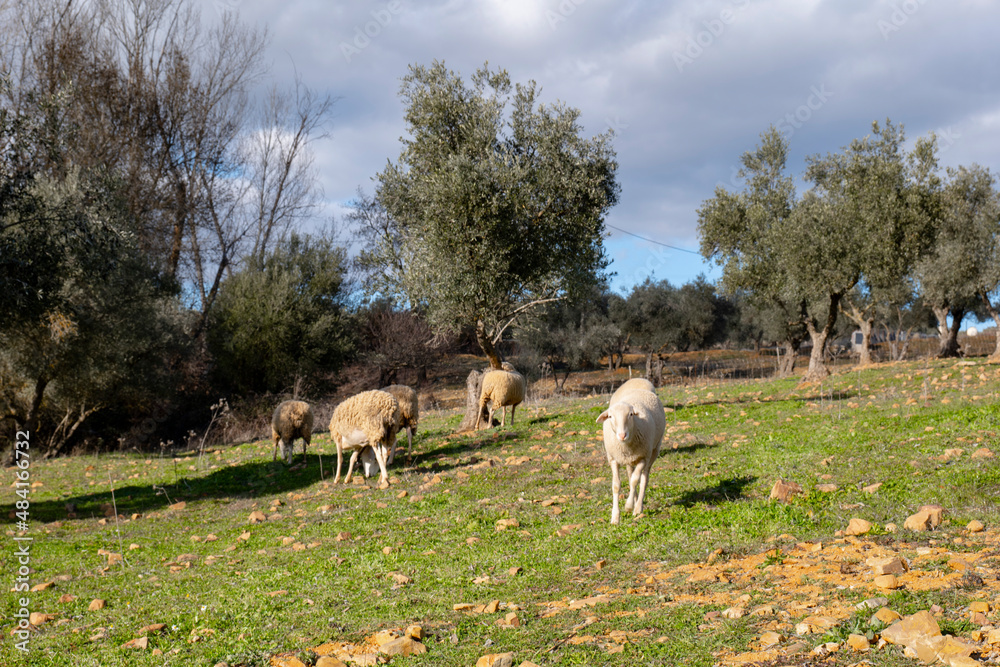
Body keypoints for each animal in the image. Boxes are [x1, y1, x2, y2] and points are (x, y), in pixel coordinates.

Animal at [596, 386, 666, 524]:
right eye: (610, 416)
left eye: (631, 414)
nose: (622, 435)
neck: (625, 446)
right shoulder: (613, 459)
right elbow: (616, 485)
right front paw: (615, 517)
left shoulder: (643, 457)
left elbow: (635, 480)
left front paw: (628, 506)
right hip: (629, 460)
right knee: (630, 475)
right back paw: (635, 501)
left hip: (653, 451)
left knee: (643, 479)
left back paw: (638, 507)